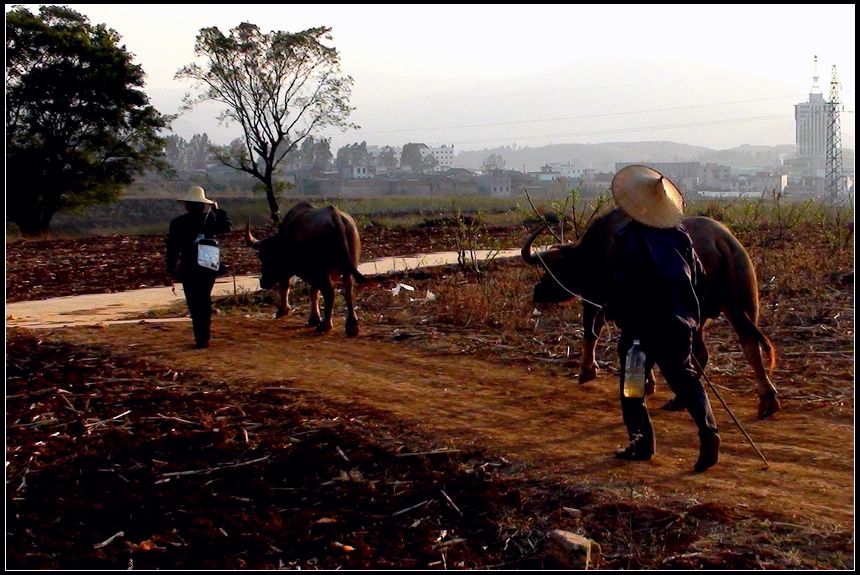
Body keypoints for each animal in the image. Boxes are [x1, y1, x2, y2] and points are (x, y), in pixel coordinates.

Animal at [244, 202, 364, 338]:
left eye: (264, 256)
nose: (263, 282)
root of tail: (335, 216)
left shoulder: (290, 271)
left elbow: (286, 287)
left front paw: (283, 310)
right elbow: (313, 292)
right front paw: (314, 319)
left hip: (322, 272)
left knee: (330, 293)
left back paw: (326, 325)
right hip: (349, 266)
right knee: (348, 290)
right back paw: (352, 326)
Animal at [524, 207, 780, 418]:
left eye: (553, 268)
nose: (538, 291)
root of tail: (721, 240)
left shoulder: (598, 299)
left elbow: (591, 331)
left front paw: (587, 371)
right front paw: (649, 383)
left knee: (705, 352)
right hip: (741, 307)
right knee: (747, 345)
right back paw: (766, 400)